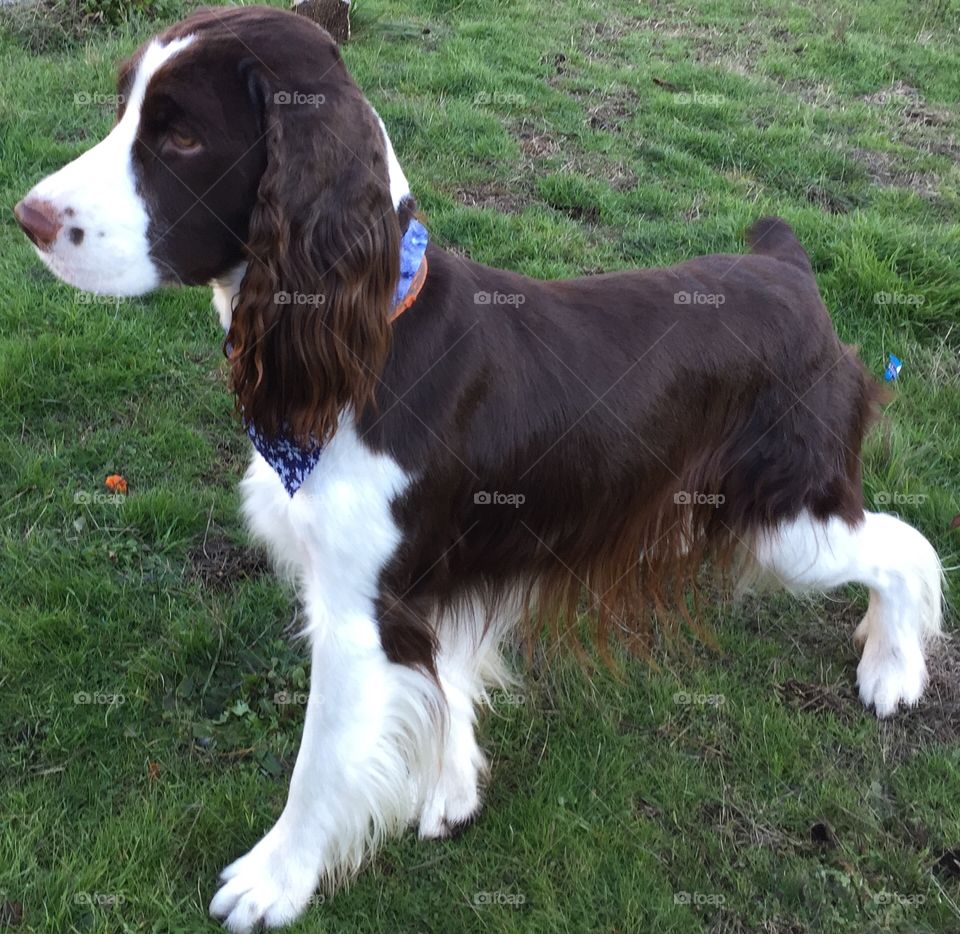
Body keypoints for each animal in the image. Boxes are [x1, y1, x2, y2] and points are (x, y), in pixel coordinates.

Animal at [15, 5, 944, 928]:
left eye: (181, 138)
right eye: (124, 108)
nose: (28, 217)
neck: (370, 342)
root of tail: (790, 268)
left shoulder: (358, 614)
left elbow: (321, 765)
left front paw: (274, 881)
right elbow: (449, 683)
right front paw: (451, 791)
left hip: (783, 517)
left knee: (904, 546)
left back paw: (892, 672)